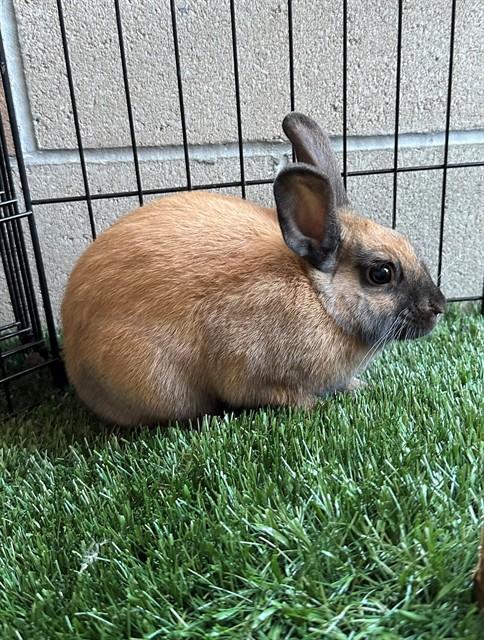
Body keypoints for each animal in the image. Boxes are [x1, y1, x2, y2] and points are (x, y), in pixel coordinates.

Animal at [61, 112, 445, 426]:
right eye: (381, 274)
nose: (439, 307)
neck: (322, 301)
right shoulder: (253, 375)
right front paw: (314, 405)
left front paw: (356, 386)